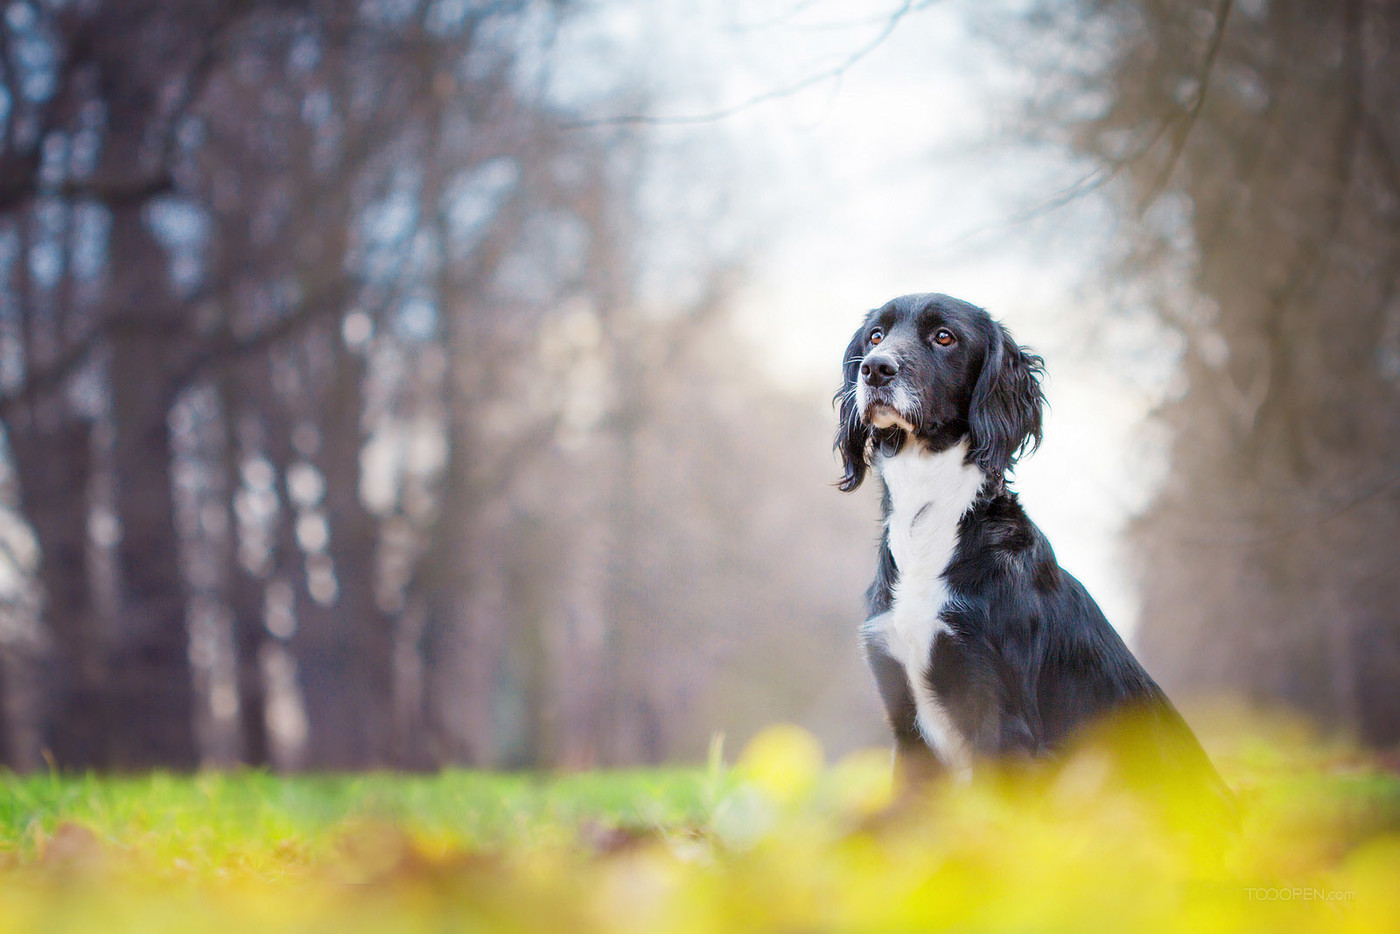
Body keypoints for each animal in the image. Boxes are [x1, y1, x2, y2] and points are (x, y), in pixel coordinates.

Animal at [834, 294, 1232, 806]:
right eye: (876, 336)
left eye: (944, 337)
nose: (875, 369)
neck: (931, 519)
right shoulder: (906, 723)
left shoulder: (1001, 716)